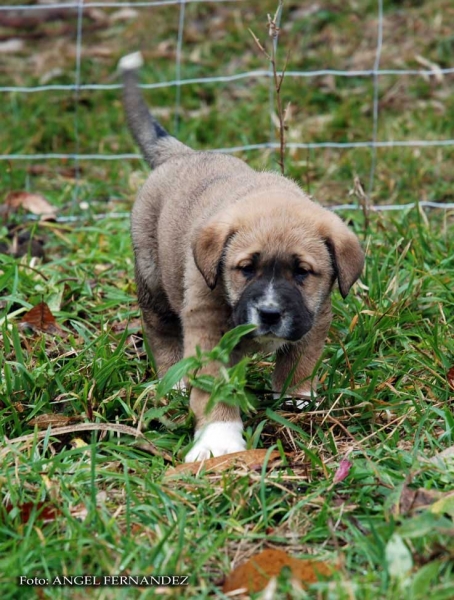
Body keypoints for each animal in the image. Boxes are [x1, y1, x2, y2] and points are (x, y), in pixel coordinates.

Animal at [119, 52, 364, 464]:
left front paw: (296, 401)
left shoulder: (315, 316)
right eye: (246, 269)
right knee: (160, 331)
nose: (269, 314)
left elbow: (300, 362)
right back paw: (174, 382)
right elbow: (213, 385)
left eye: (303, 272)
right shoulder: (206, 322)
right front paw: (218, 440)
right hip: (153, 279)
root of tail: (182, 154)